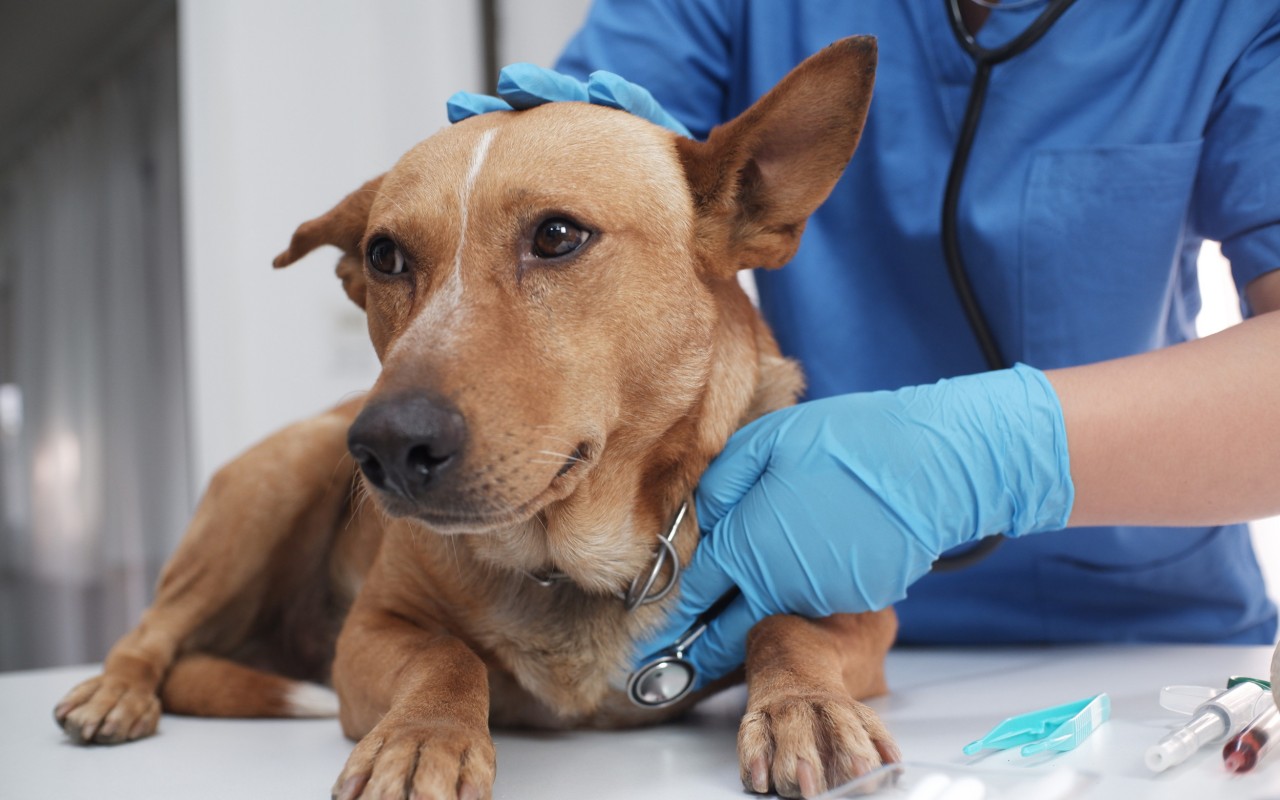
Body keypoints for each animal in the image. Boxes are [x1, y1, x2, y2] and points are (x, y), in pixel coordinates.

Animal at [55, 37, 901, 798]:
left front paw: (807, 707)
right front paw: (425, 737)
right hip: (277, 479)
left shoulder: (863, 618)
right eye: (385, 256)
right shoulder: (368, 634)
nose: (387, 446)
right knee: (152, 630)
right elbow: (446, 657)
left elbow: (783, 626)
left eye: (557, 235)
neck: (569, 559)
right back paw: (115, 691)